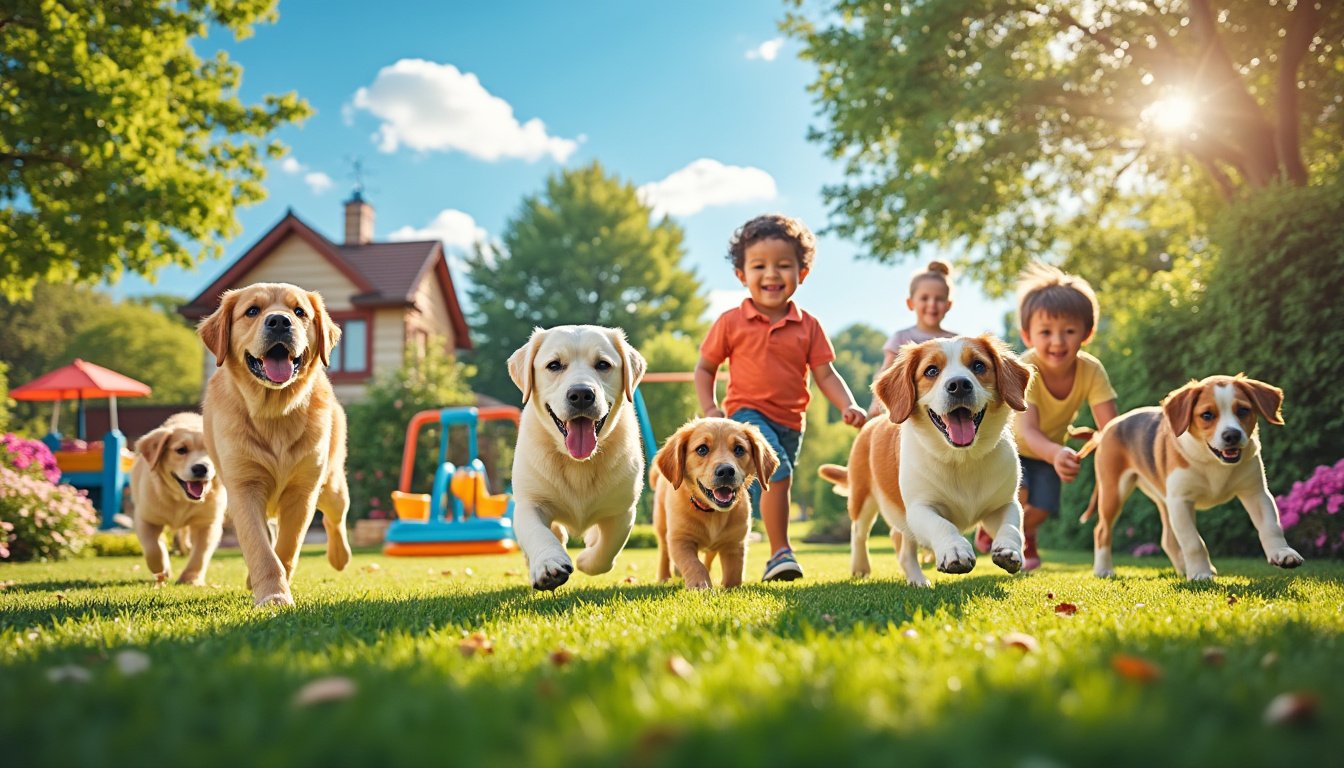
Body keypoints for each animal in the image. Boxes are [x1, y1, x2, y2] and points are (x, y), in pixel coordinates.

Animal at [129, 411, 227, 586]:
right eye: (181, 450)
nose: (200, 468)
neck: (181, 500)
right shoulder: (146, 518)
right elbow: (153, 547)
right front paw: (161, 569)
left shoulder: (208, 523)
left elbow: (200, 554)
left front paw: (191, 579)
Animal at [196, 282, 352, 607]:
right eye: (252, 311)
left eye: (299, 311)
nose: (280, 321)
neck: (274, 412)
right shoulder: (244, 488)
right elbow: (261, 549)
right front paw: (273, 594)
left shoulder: (302, 492)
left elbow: (286, 548)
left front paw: (278, 589)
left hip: (332, 486)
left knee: (335, 519)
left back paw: (339, 556)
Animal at [647, 419, 779, 589]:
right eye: (702, 449)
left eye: (739, 449)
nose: (726, 471)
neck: (711, 512)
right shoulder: (680, 538)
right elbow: (693, 564)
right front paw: (699, 585)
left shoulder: (735, 543)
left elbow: (734, 573)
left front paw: (730, 588)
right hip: (661, 525)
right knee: (664, 551)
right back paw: (665, 577)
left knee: (708, 558)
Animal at [817, 336, 1026, 589]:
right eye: (931, 370)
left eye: (978, 365)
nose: (959, 384)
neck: (961, 458)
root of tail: (871, 424)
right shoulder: (918, 509)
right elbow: (942, 525)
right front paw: (954, 549)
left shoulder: (1004, 504)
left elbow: (1012, 526)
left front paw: (1008, 550)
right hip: (862, 498)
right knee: (860, 533)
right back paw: (863, 567)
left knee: (900, 545)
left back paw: (916, 579)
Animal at [1069, 376, 1300, 581]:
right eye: (1207, 415)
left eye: (1243, 410)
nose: (1232, 435)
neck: (1213, 461)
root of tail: (1107, 428)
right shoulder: (1181, 501)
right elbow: (1193, 542)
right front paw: (1200, 573)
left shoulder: (1256, 493)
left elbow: (1271, 526)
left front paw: (1282, 553)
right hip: (1114, 492)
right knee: (1101, 531)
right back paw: (1103, 569)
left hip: (1163, 501)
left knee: (1168, 540)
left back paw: (1182, 568)